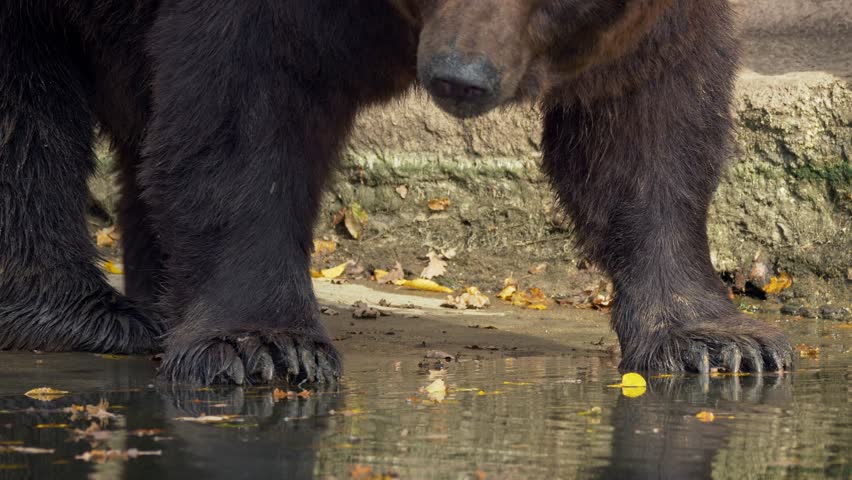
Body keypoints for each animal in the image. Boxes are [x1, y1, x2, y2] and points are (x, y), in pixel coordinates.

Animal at [0, 0, 792, 385]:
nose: (460, 76)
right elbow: (243, 106)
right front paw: (264, 345)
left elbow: (645, 115)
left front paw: (717, 342)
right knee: (27, 106)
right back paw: (81, 313)